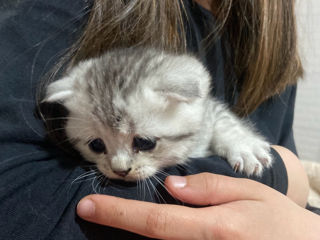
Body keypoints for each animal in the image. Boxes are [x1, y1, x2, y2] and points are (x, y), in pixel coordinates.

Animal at [43, 47, 272, 181]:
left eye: (145, 142)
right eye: (96, 145)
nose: (120, 171)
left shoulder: (208, 108)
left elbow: (223, 119)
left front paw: (245, 147)